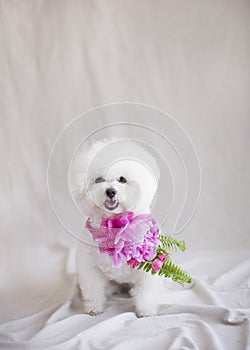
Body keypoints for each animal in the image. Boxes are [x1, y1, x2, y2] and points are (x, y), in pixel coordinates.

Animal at [69, 139, 163, 318]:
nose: (110, 191)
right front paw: (94, 307)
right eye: (99, 179)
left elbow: (146, 291)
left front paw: (146, 310)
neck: (115, 225)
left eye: (122, 179)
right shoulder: (90, 267)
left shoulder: (148, 267)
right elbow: (93, 289)